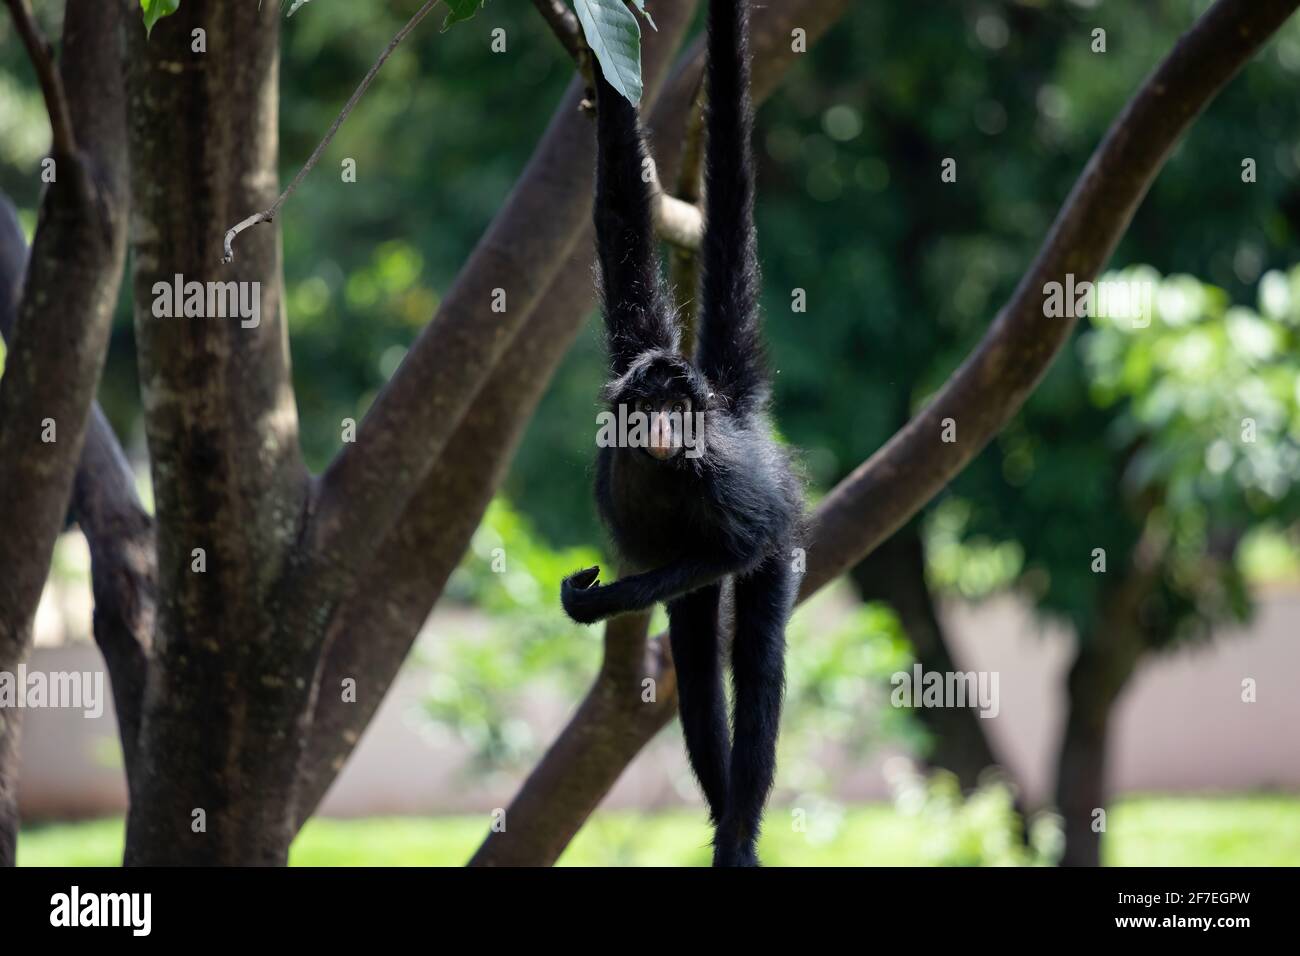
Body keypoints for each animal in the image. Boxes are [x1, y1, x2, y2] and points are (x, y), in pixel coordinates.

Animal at [560, 0, 803, 867]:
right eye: (650, 405)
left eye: (677, 410)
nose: (668, 425)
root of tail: (734, 406)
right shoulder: (632, 348)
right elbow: (619, 215)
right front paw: (606, 75)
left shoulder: (721, 481)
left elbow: (736, 549)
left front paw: (603, 599)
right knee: (697, 669)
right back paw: (721, 806)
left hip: (783, 527)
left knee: (754, 664)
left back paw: (740, 829)